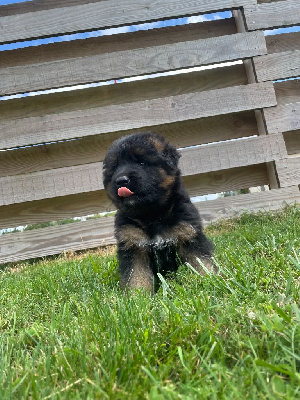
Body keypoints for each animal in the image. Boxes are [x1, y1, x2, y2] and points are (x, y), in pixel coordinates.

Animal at [103, 133, 216, 292]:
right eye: (114, 168)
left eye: (142, 163)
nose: (121, 180)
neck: (152, 215)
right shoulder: (134, 245)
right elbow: (136, 276)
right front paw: (138, 295)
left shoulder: (188, 235)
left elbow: (201, 263)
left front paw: (211, 280)